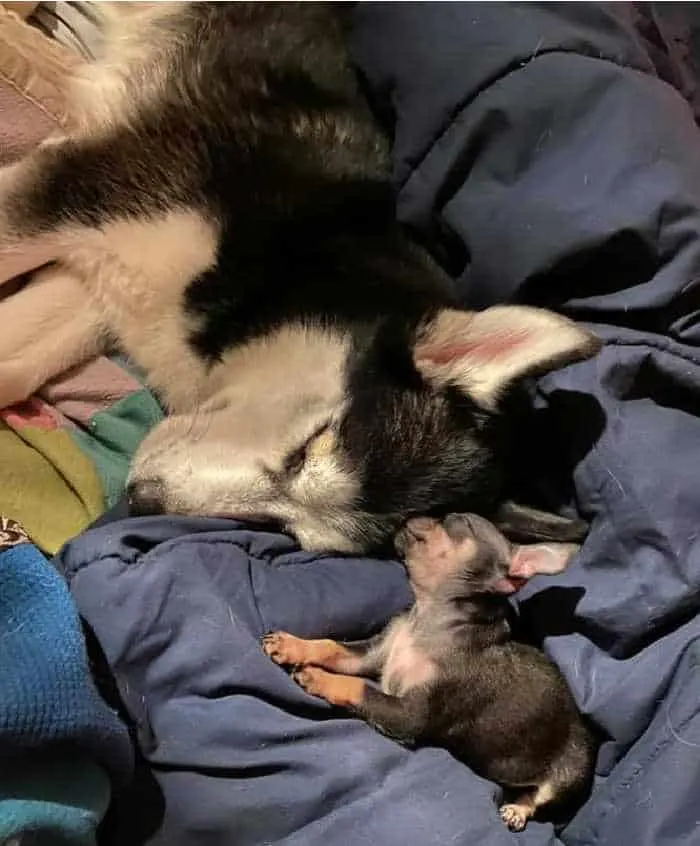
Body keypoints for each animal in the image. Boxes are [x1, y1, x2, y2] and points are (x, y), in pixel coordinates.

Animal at [0, 3, 600, 552]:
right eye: (310, 447)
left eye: (285, 528)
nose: (142, 498)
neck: (299, 253)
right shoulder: (74, 193)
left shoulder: (103, 286)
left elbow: (13, 365)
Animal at [262, 512, 596, 832]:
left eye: (460, 521)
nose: (418, 514)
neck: (426, 619)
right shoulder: (371, 656)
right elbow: (332, 647)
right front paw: (291, 645)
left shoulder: (409, 716)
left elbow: (359, 688)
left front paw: (316, 676)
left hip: (568, 775)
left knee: (539, 797)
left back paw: (518, 809)